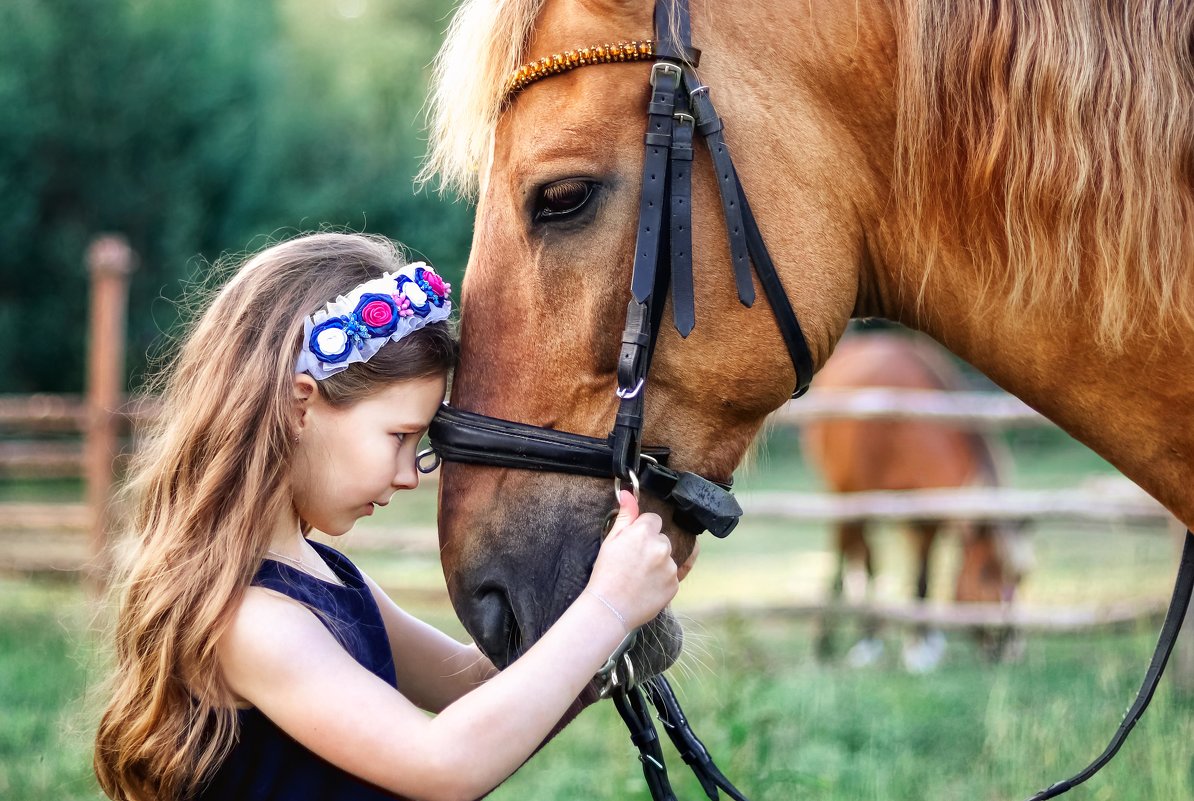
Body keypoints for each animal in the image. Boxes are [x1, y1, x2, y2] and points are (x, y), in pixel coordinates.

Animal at [797, 329, 1031, 668]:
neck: (897, 426)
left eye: (1022, 577)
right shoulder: (862, 501)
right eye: (986, 572)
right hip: (841, 496)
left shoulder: (927, 513)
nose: (1008, 647)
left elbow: (923, 578)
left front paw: (922, 645)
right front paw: (869, 642)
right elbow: (871, 565)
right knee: (849, 554)